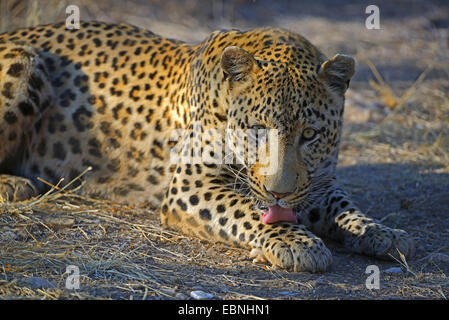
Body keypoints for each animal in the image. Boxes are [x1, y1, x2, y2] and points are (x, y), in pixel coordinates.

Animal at [0, 21, 412, 272]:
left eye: (309, 134)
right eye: (257, 129)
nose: (279, 193)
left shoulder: (316, 183)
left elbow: (342, 205)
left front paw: (378, 230)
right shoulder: (191, 185)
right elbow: (246, 208)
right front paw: (297, 243)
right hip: (23, 60)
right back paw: (15, 184)